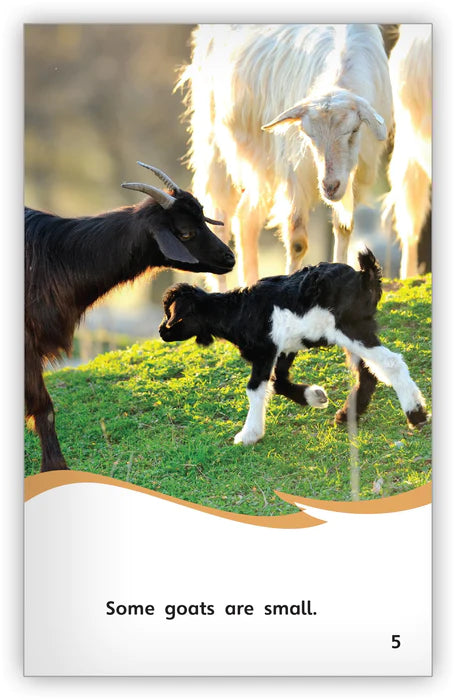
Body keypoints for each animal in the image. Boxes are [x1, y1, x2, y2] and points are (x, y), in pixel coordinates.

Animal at [25, 162, 235, 472]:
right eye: (185, 232)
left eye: (203, 220)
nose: (229, 258)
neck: (57, 257)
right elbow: (44, 406)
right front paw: (55, 466)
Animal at [160, 249, 427, 445]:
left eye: (174, 315)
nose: (162, 332)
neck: (238, 311)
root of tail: (365, 276)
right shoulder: (286, 347)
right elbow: (279, 382)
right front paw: (315, 397)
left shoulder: (265, 350)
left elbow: (255, 388)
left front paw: (248, 435)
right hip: (353, 334)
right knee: (368, 373)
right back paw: (345, 416)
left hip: (352, 330)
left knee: (390, 363)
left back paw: (417, 415)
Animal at [178, 24, 393, 289]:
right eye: (308, 134)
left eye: (353, 131)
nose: (329, 186)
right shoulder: (294, 173)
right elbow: (297, 240)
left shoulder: (355, 175)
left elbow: (344, 227)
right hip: (213, 146)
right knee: (220, 219)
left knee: (245, 217)